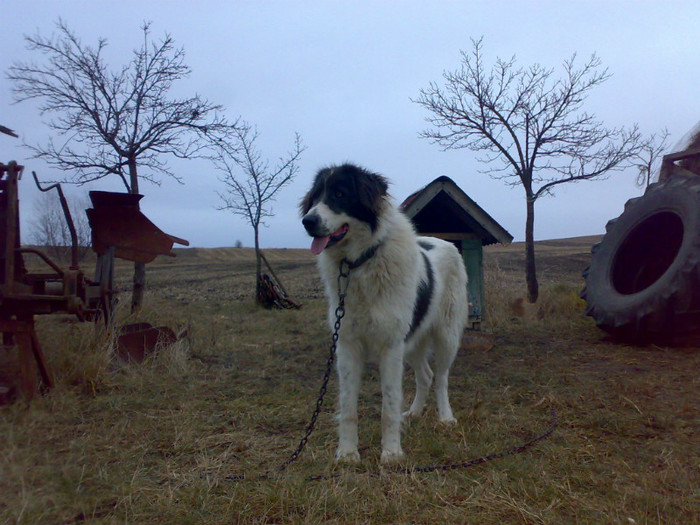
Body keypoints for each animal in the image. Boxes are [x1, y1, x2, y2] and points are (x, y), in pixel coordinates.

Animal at [300, 164, 468, 462]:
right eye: (316, 196)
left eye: (340, 194)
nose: (307, 221)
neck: (360, 262)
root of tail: (446, 243)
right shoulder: (347, 344)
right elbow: (348, 406)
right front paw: (347, 452)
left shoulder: (390, 346)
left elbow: (388, 404)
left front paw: (391, 452)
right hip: (412, 340)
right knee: (425, 375)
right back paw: (413, 413)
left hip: (446, 336)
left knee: (441, 378)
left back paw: (445, 417)